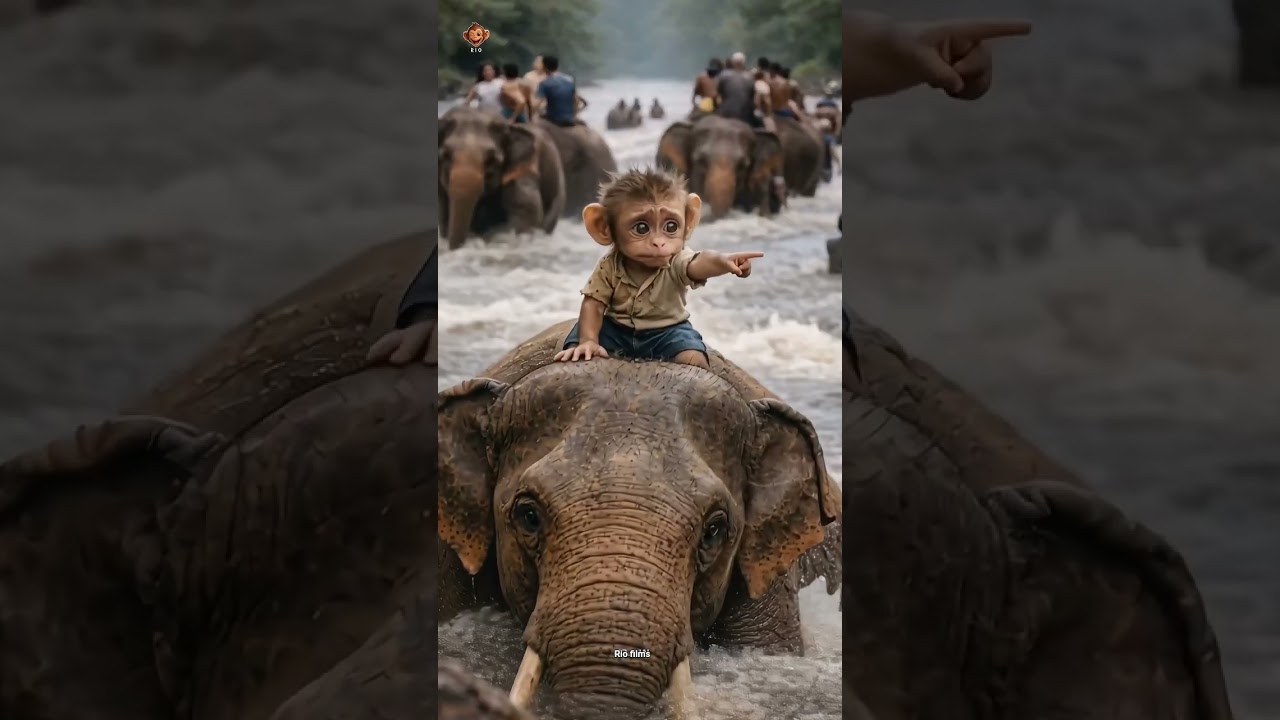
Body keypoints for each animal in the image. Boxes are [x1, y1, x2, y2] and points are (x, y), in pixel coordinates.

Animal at [554, 167, 764, 370]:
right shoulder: (603, 267)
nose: (659, 244)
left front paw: (735, 261)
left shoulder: (679, 261)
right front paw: (586, 347)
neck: (642, 268)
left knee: (691, 354)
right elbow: (593, 304)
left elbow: (700, 263)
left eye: (671, 226)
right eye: (641, 228)